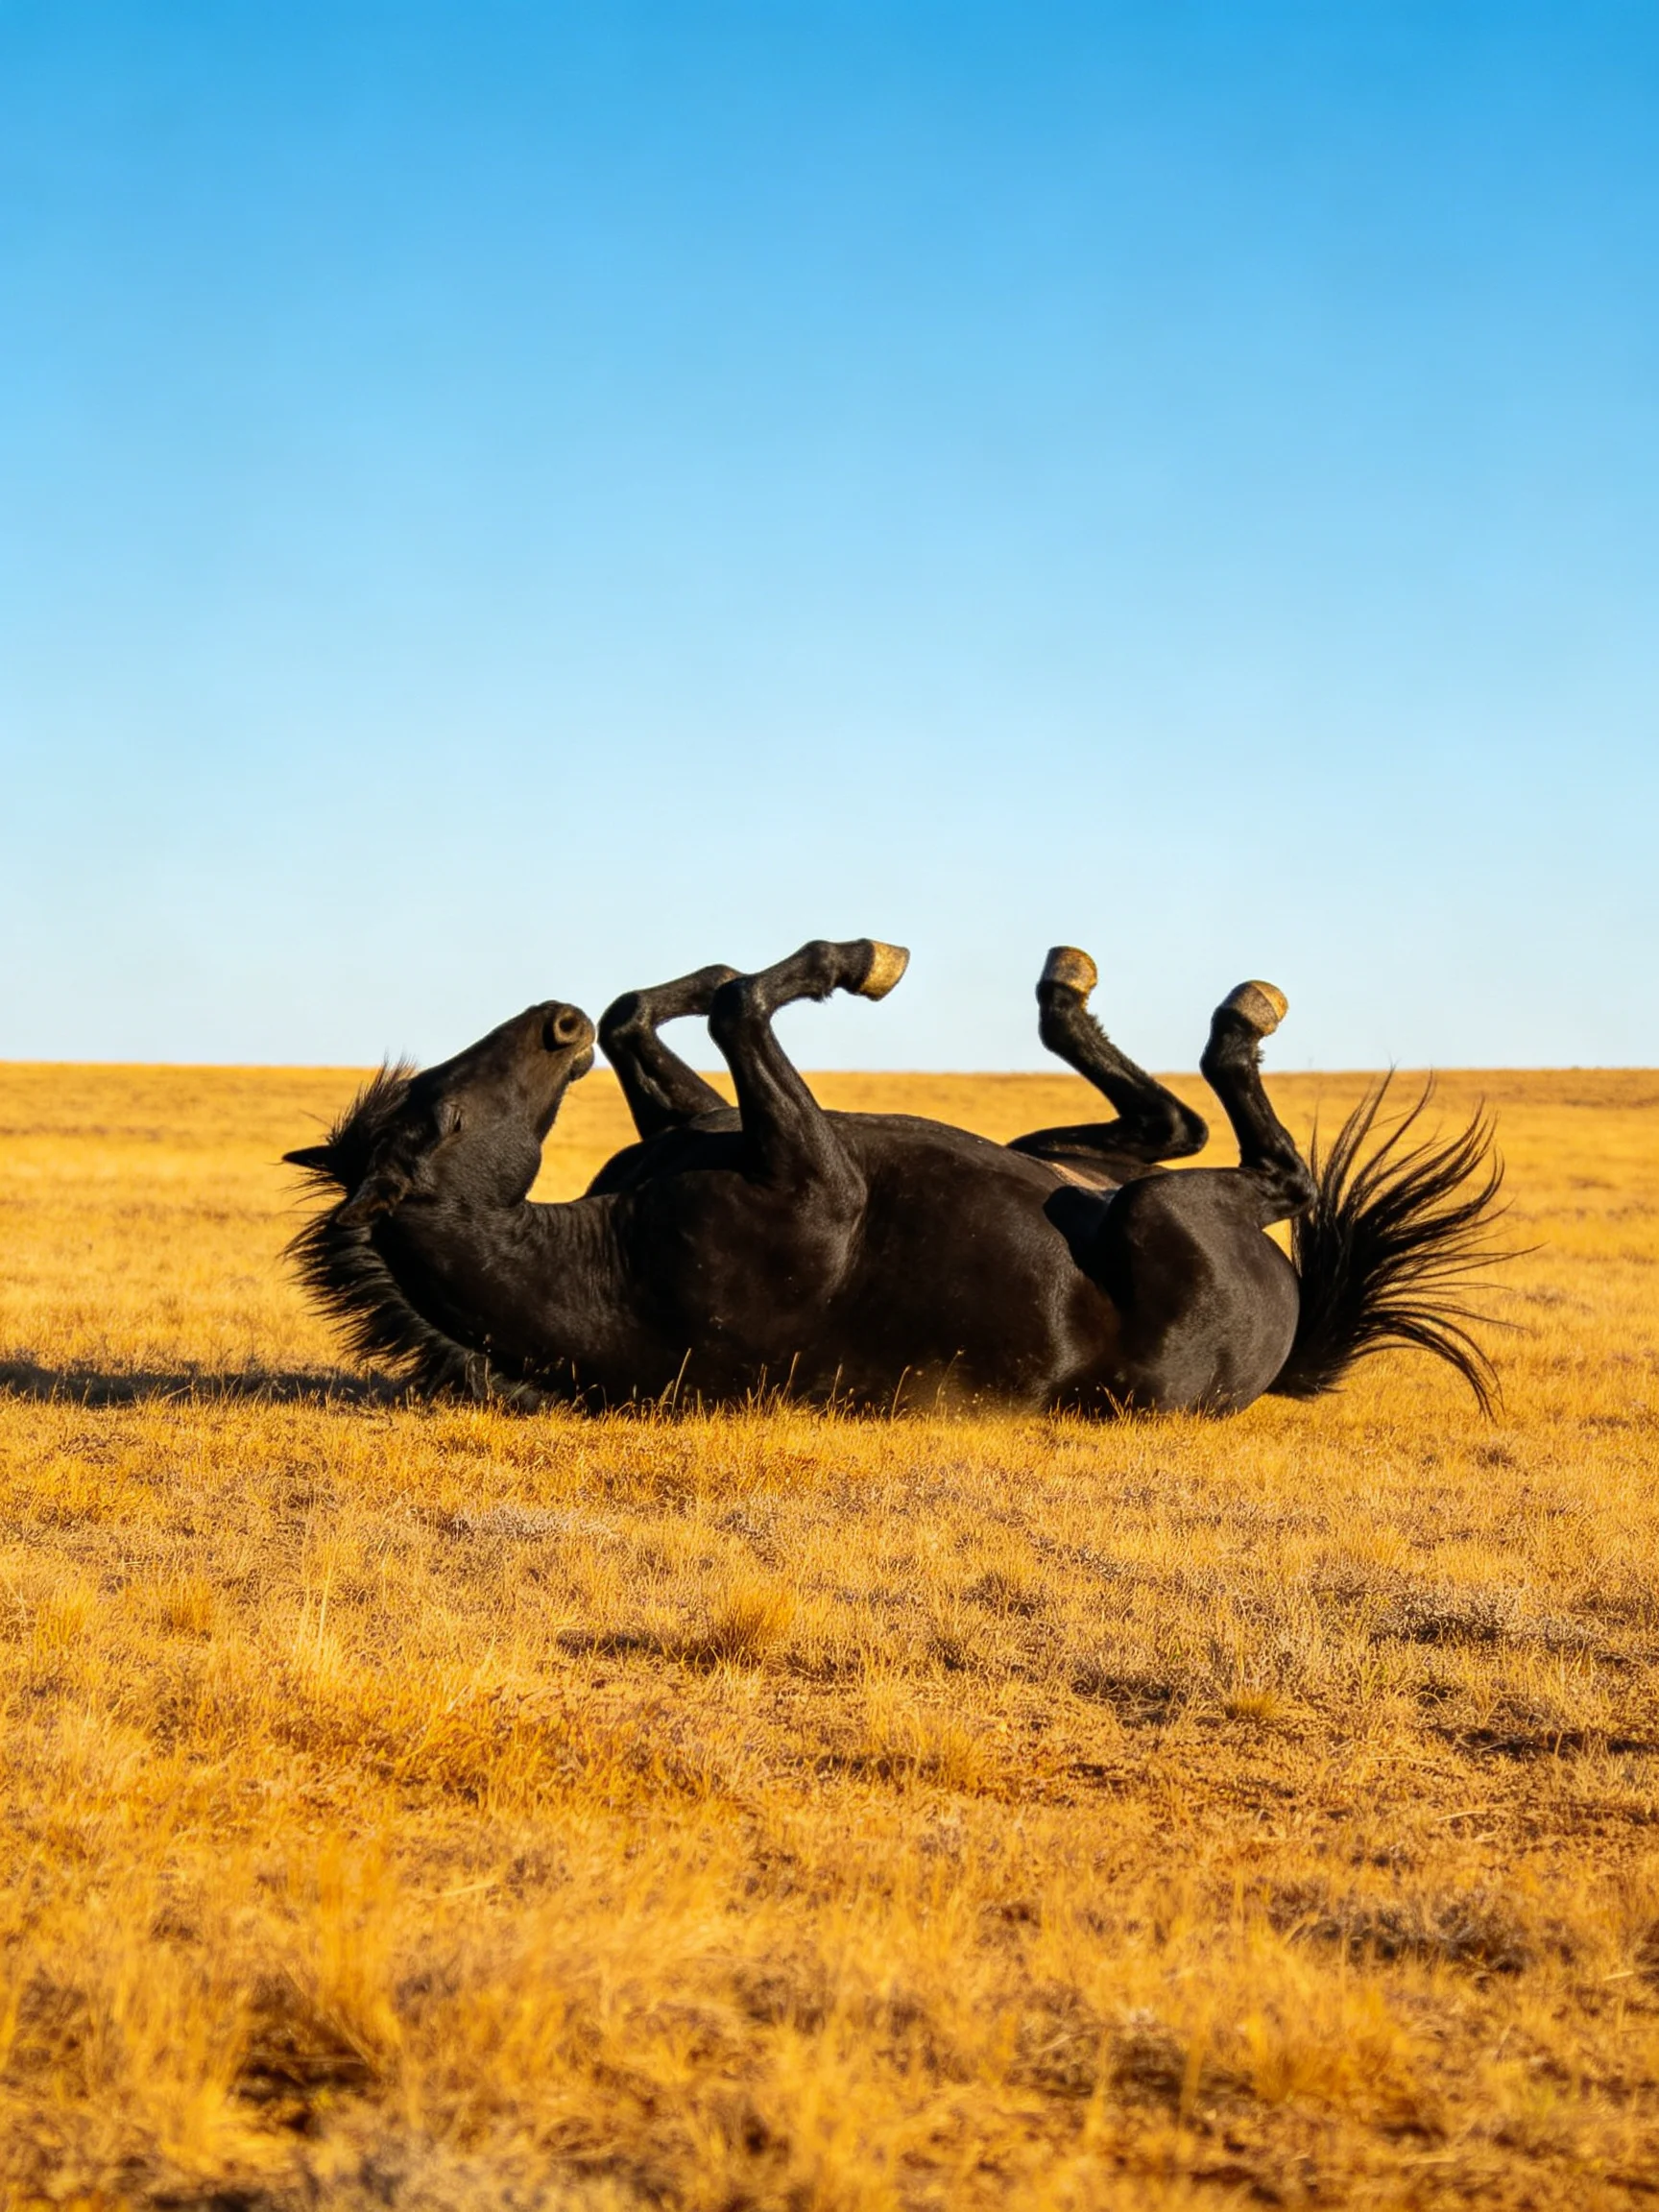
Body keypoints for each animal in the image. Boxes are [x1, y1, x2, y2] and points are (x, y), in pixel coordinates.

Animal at [283, 940, 1505, 1415]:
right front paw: (852, 963)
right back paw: (1239, 1018)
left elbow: (662, 1013)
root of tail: (1291, 1346)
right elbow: (741, 1008)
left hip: (1072, 1166)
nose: (554, 1023)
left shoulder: (702, 1122)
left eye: (428, 1092)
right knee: (1267, 1162)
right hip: (1163, 1211)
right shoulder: (817, 1183)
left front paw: (692, 978)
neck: (611, 1263)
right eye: (440, 1120)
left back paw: (1067, 987)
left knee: (1168, 1117)